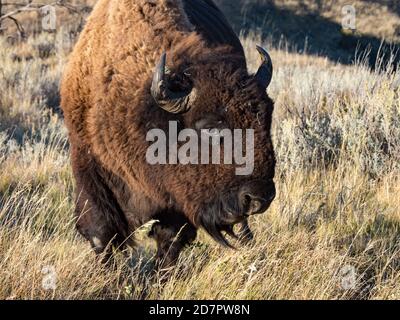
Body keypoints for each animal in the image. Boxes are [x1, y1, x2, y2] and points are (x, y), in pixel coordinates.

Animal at [61, 0, 276, 268]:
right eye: (210, 127)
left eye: (267, 119)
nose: (260, 197)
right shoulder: (88, 164)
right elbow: (101, 233)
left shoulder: (178, 202)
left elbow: (169, 243)